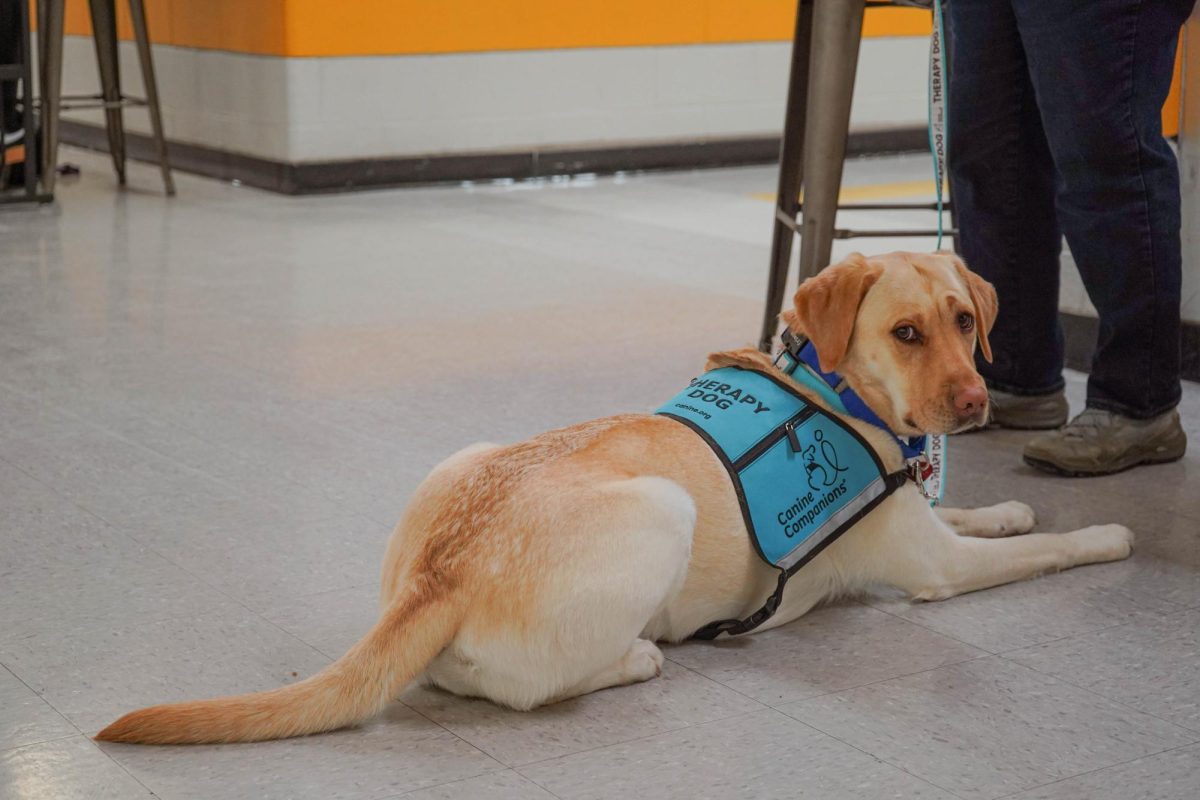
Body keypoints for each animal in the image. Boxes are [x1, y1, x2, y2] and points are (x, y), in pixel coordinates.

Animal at [96, 250, 1132, 743]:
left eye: (963, 320)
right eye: (906, 332)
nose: (975, 402)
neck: (832, 390)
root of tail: (438, 578)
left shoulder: (918, 519)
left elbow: (985, 515)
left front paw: (1012, 504)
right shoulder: (934, 567)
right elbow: (1049, 548)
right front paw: (1109, 535)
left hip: (462, 460)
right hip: (663, 510)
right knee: (535, 689)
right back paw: (636, 657)